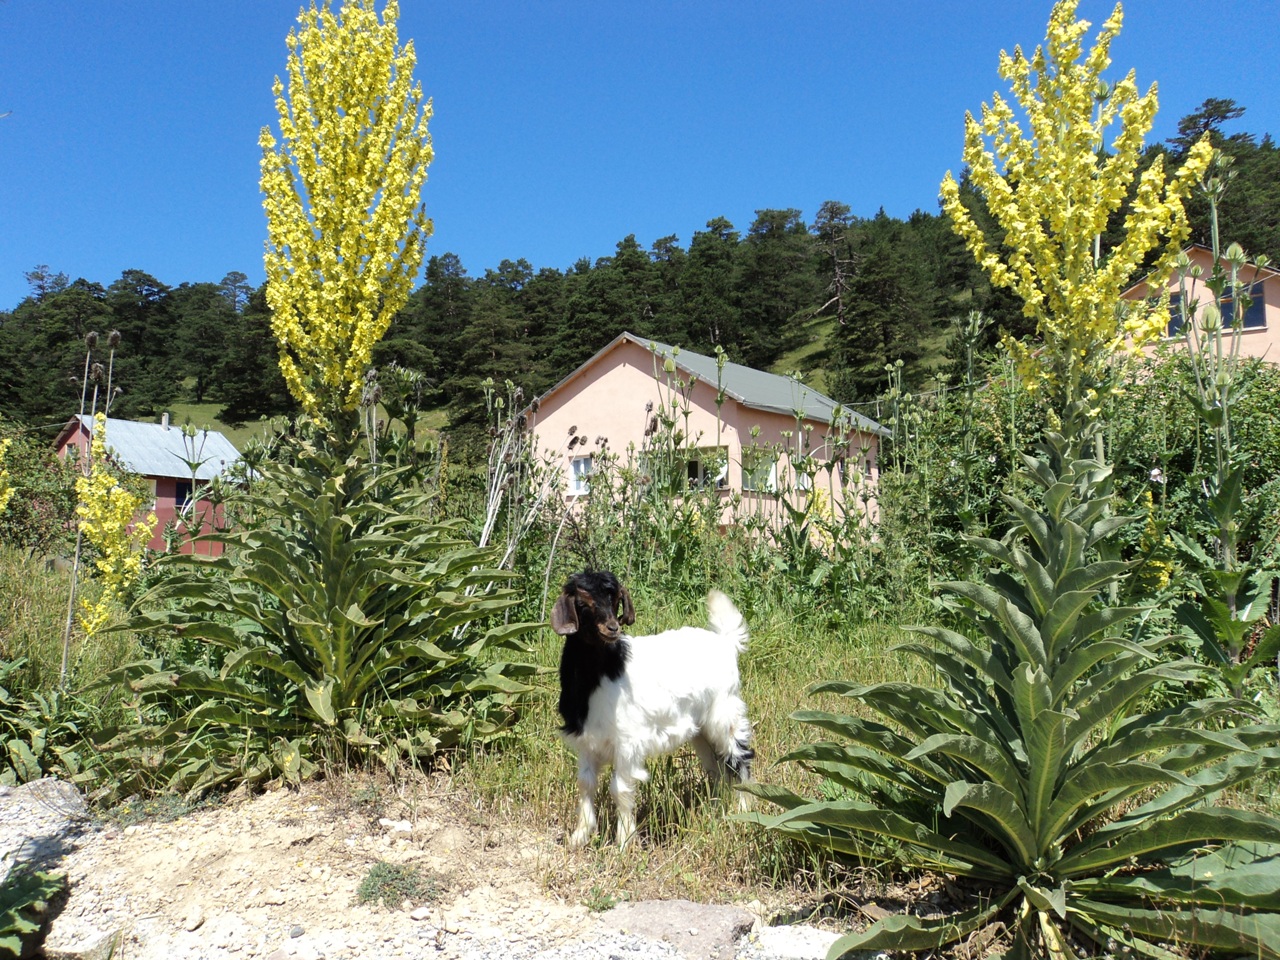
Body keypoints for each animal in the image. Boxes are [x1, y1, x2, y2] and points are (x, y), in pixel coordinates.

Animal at [547, 570, 747, 849]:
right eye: (582, 603)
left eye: (615, 600)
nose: (612, 628)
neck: (604, 670)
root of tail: (725, 642)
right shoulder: (587, 741)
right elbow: (586, 783)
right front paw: (580, 836)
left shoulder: (627, 742)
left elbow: (619, 788)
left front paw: (624, 842)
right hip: (700, 731)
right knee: (716, 769)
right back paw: (716, 809)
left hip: (724, 713)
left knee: (738, 758)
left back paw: (743, 811)